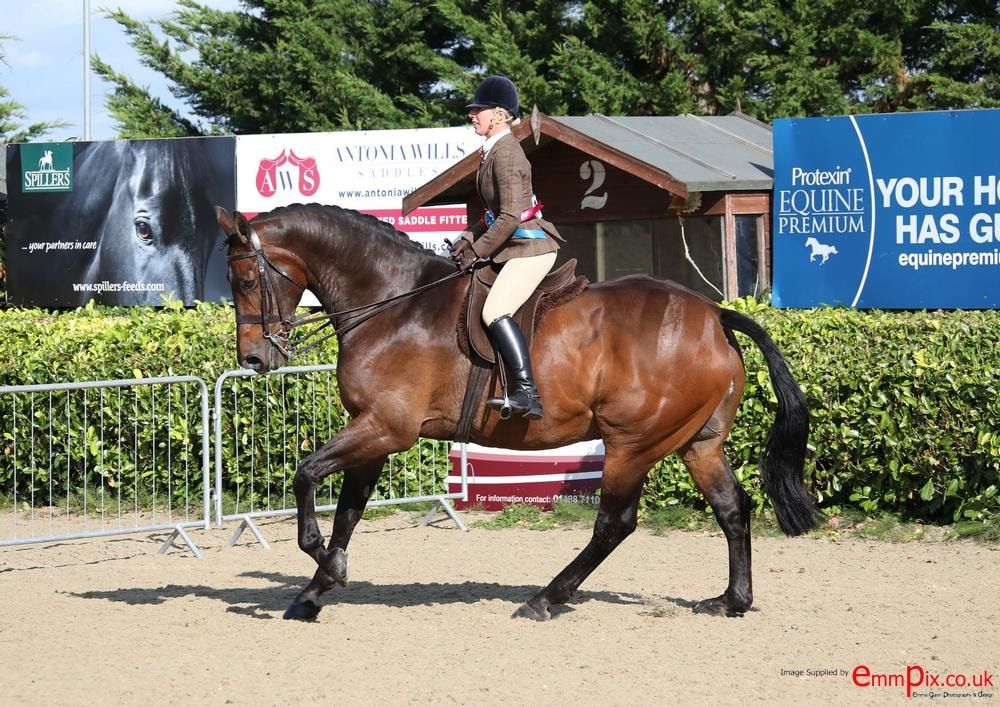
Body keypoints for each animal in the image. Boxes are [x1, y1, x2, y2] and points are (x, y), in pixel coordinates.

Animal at [219, 202, 820, 624]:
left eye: (244, 281)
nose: (254, 359)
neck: (394, 303)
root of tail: (715, 315)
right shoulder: (372, 432)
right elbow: (348, 512)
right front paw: (314, 592)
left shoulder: (386, 429)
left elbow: (306, 474)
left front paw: (326, 564)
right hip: (698, 442)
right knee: (732, 507)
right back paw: (732, 600)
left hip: (632, 444)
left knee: (615, 523)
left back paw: (545, 598)